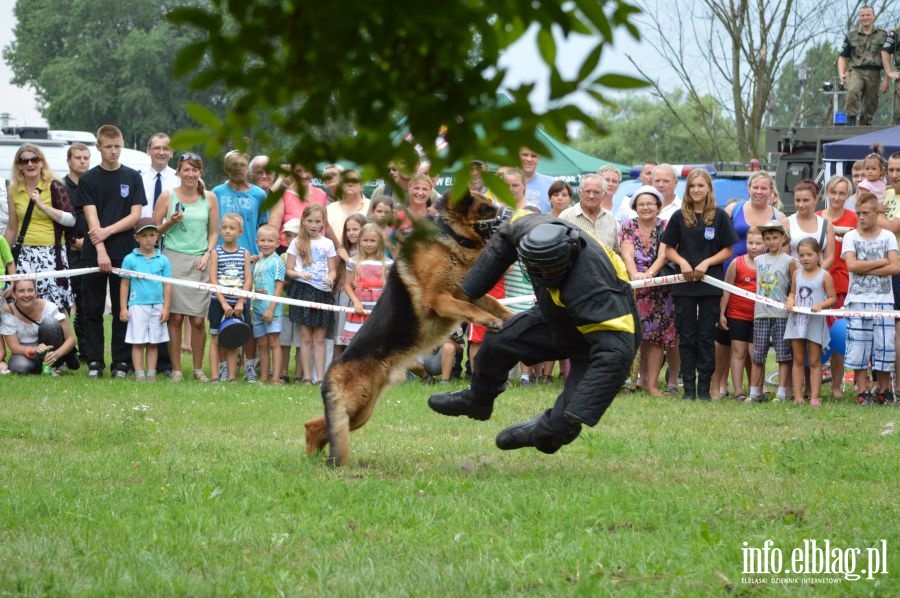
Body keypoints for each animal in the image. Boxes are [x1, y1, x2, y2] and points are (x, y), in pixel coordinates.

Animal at [304, 192, 510, 468]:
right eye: (488, 208)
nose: (510, 218)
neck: (452, 236)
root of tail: (331, 369)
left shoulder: (468, 292)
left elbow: (494, 304)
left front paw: (513, 316)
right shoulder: (438, 300)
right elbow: (467, 307)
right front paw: (491, 321)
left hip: (360, 412)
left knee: (317, 427)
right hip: (355, 407)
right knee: (313, 427)